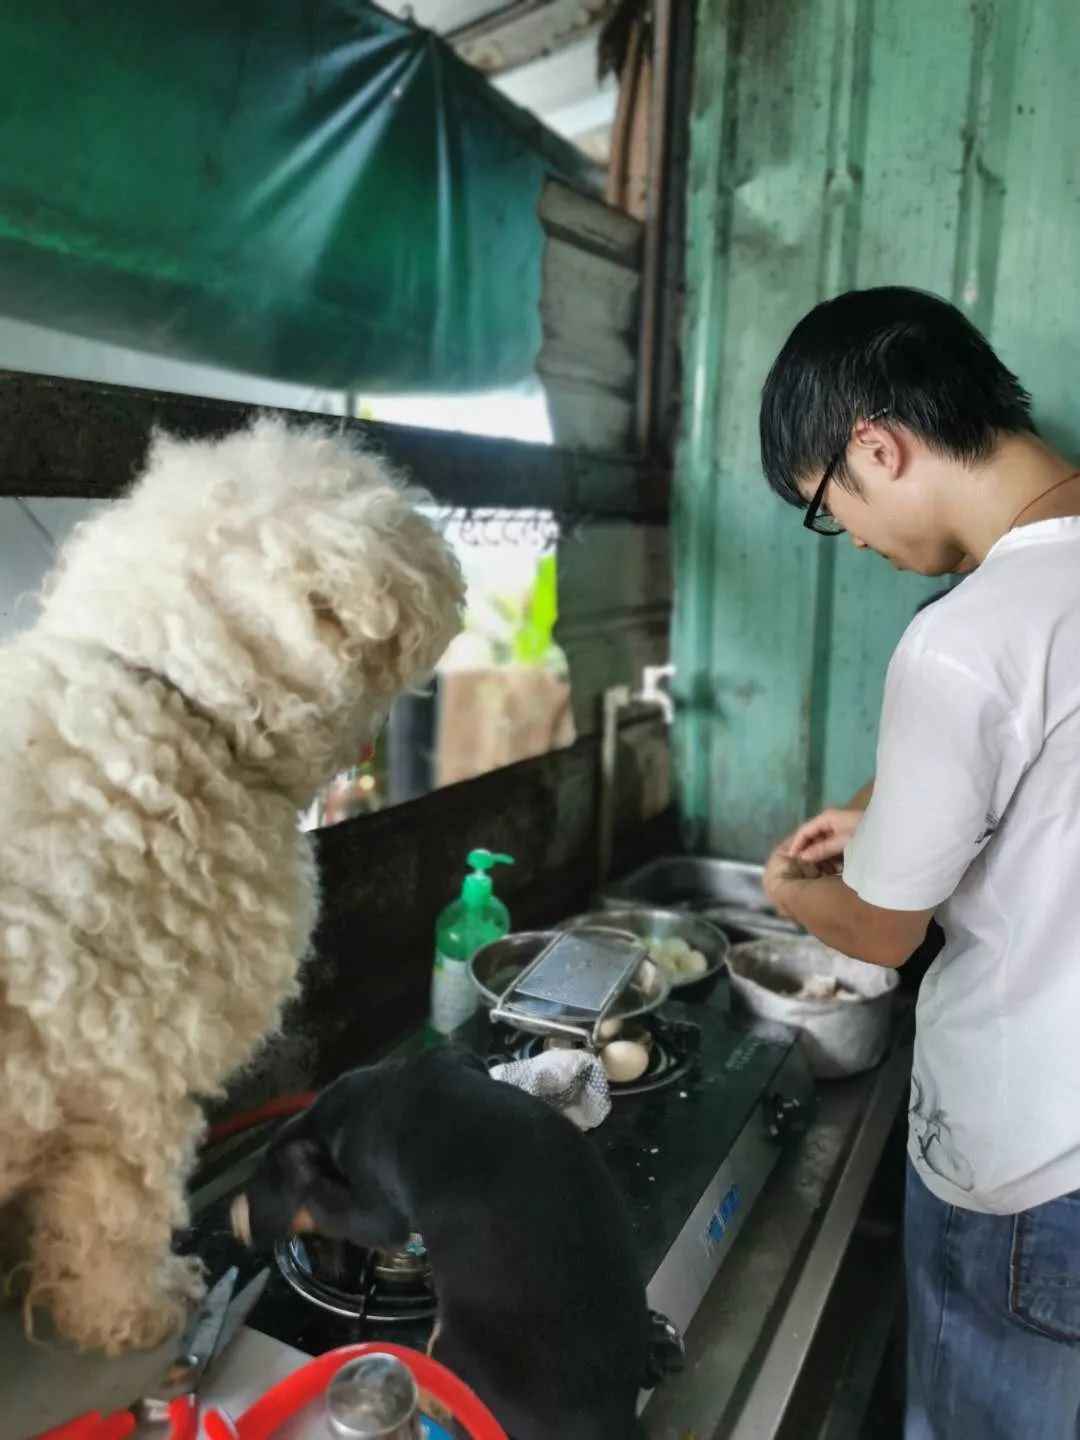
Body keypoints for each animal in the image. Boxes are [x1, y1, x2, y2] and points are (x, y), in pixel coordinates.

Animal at [237, 1048, 656, 1440]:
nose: (330, 1274)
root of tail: (611, 1421)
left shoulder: (379, 1216)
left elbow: (325, 1208)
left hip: (449, 1344)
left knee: (447, 1403)